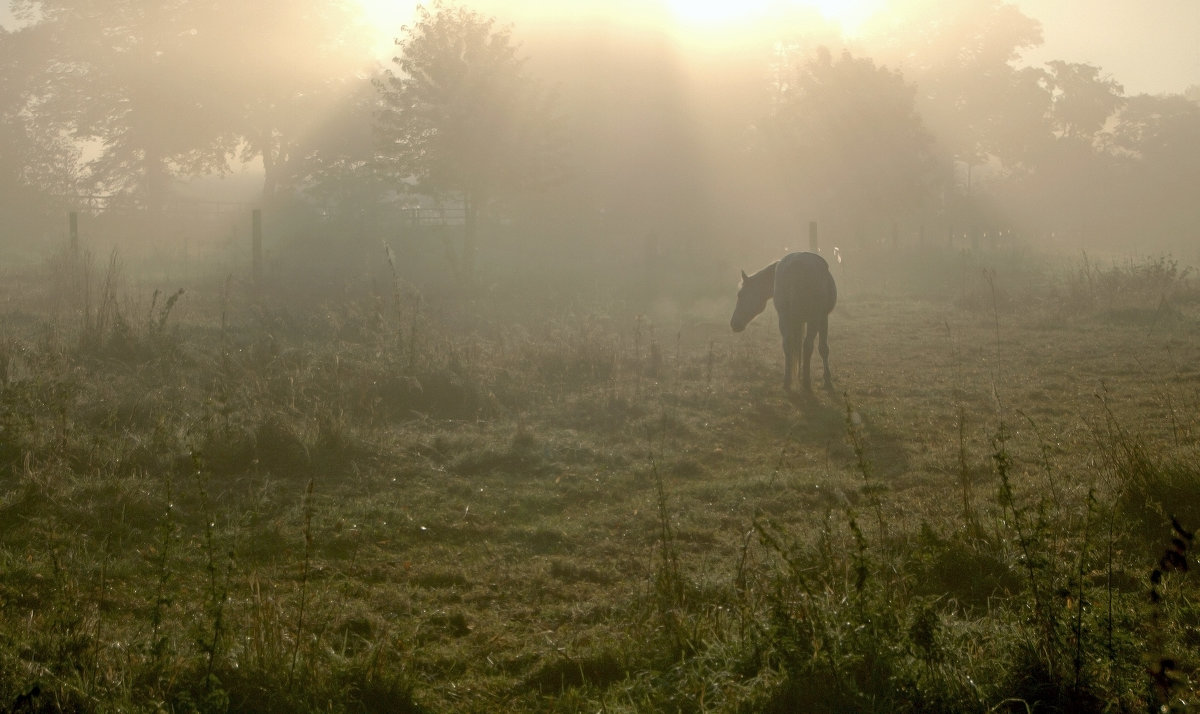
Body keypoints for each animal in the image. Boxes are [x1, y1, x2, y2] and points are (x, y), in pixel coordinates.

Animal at [729, 252, 835, 393]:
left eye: (740, 294)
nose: (734, 323)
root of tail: (796, 265)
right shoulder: (822, 318)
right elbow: (823, 348)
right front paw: (827, 379)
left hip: (786, 318)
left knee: (788, 344)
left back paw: (788, 381)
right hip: (813, 319)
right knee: (807, 345)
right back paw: (806, 382)